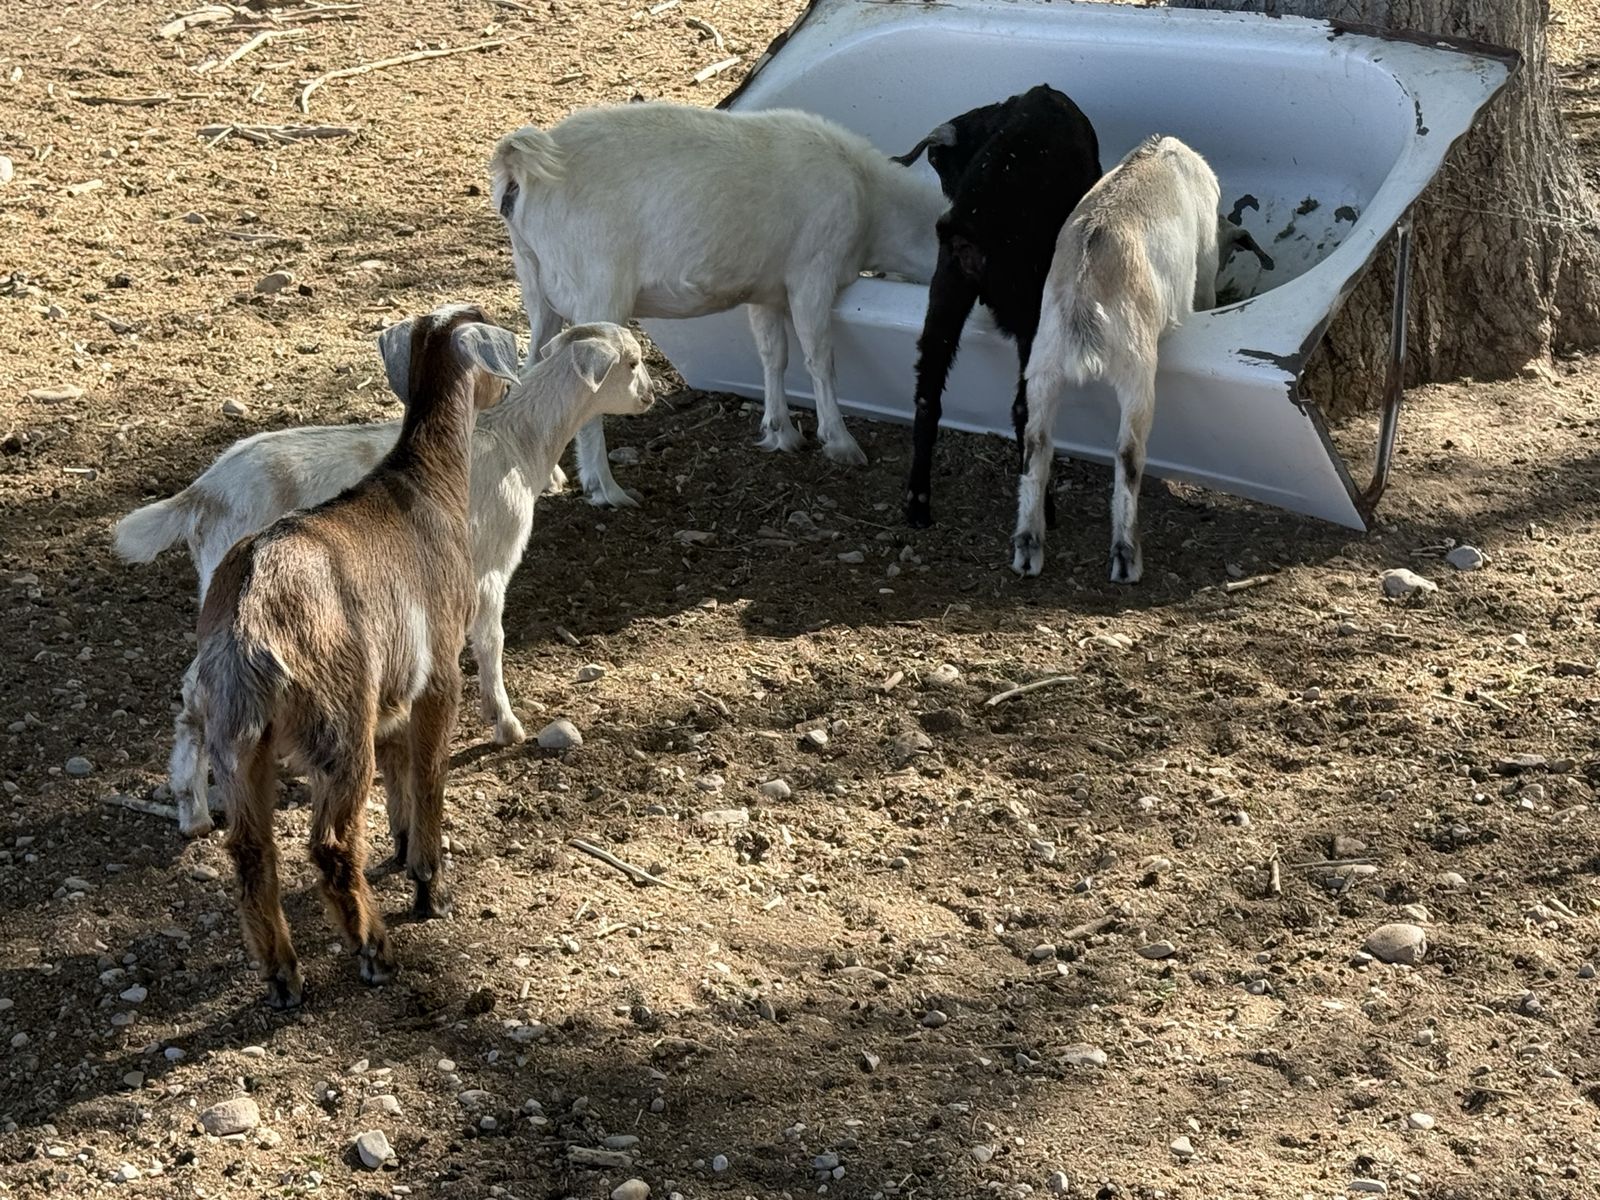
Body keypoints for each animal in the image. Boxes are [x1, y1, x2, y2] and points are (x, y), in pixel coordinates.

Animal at [116, 318, 652, 839]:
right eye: (632, 362)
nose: (650, 395)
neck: (518, 441)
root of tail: (204, 493)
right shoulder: (490, 568)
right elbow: (490, 642)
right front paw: (505, 724)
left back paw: (196, 806)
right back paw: (200, 805)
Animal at [191, 303, 511, 1007]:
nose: (504, 392)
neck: (423, 485)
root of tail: (250, 616)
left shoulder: (392, 690)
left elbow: (400, 774)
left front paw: (403, 846)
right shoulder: (437, 671)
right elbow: (428, 774)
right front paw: (428, 885)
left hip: (237, 739)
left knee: (250, 850)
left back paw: (283, 974)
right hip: (338, 721)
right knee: (332, 843)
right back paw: (373, 950)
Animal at [489, 101, 947, 506]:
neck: (871, 204)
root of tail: (523, 166)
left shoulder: (768, 290)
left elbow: (774, 355)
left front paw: (780, 430)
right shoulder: (813, 272)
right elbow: (820, 358)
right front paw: (840, 442)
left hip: (535, 281)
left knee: (532, 371)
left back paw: (549, 475)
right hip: (597, 284)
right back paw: (606, 489)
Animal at [893, 85, 1102, 529]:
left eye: (940, 165)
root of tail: (968, 229)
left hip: (945, 300)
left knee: (927, 397)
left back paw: (918, 501)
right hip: (1031, 317)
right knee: (1024, 408)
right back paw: (1044, 507)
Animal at [1013, 135, 1272, 583]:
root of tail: (1083, 294)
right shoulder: (1203, 279)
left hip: (1043, 368)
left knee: (1037, 443)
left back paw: (1028, 550)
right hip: (1137, 373)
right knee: (1128, 453)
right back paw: (1126, 558)